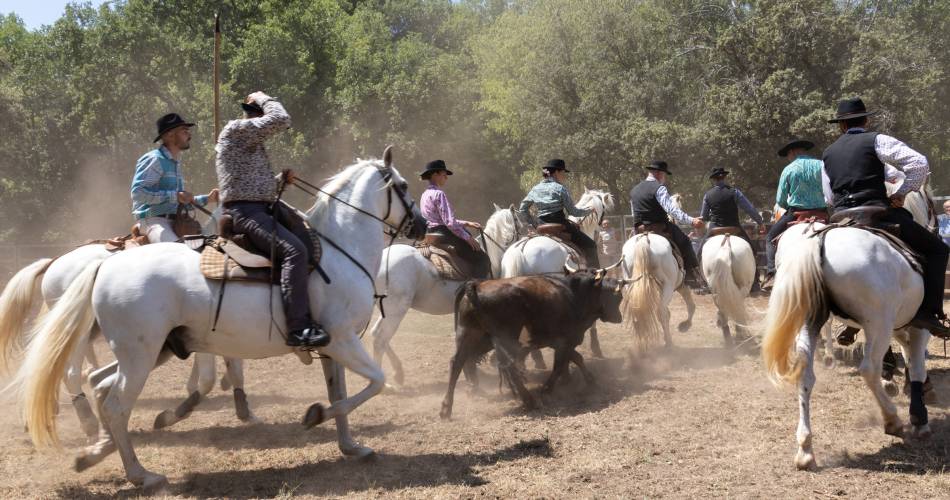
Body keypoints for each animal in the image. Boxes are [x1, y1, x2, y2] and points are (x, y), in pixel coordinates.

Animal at [11, 149, 426, 492]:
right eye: (404, 185)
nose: (422, 225)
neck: (339, 250)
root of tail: (104, 265)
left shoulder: (331, 348)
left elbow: (340, 392)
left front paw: (351, 446)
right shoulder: (342, 340)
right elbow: (374, 383)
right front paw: (315, 415)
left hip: (153, 351)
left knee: (98, 384)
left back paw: (94, 453)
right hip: (139, 356)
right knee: (113, 403)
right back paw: (141, 474)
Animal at [370, 203, 536, 386]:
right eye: (527, 221)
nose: (532, 235)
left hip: (387, 309)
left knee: (376, 334)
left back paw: (398, 373)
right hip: (396, 309)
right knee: (380, 339)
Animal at [442, 270, 628, 418]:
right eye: (618, 297)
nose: (619, 318)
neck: (574, 295)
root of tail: (476, 286)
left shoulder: (560, 342)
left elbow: (576, 358)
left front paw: (590, 380)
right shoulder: (565, 341)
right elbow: (560, 365)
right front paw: (546, 390)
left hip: (470, 335)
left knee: (457, 362)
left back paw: (446, 407)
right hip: (505, 340)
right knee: (509, 366)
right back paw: (529, 400)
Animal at [764, 221, 932, 470]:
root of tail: (818, 239)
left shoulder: (903, 328)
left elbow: (909, 357)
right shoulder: (919, 327)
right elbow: (917, 366)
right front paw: (920, 419)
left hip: (810, 321)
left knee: (804, 375)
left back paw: (805, 449)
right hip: (878, 323)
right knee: (869, 370)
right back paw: (892, 419)